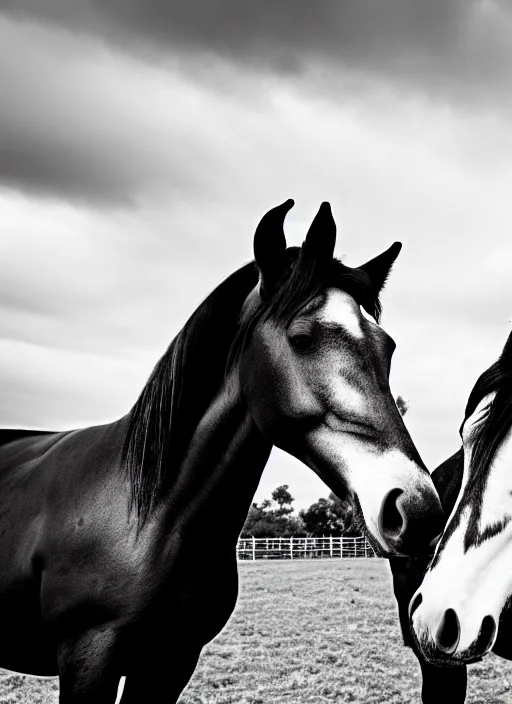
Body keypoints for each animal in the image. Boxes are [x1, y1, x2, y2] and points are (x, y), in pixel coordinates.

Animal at [0, 201, 444, 700]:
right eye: (302, 338)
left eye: (387, 347)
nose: (417, 508)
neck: (147, 518)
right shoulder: (88, 660)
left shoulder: (171, 663)